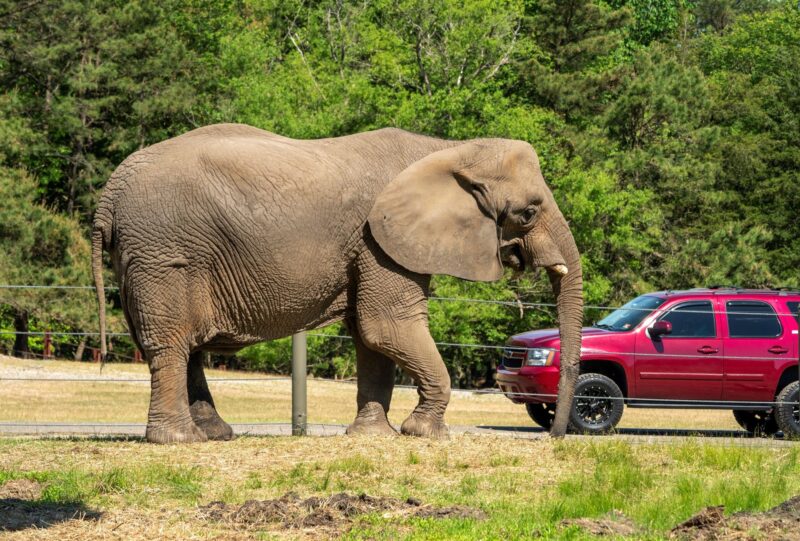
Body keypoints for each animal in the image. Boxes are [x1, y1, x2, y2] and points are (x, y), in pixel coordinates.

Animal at [90, 123, 584, 442]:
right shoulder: (378, 240)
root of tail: (109, 192)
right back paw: (179, 441)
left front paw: (373, 437)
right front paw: (424, 434)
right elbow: (387, 326)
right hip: (164, 253)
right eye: (529, 212)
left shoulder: (371, 246)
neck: (448, 149)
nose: (556, 437)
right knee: (171, 343)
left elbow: (371, 338)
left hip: (146, 256)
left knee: (182, 345)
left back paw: (214, 434)